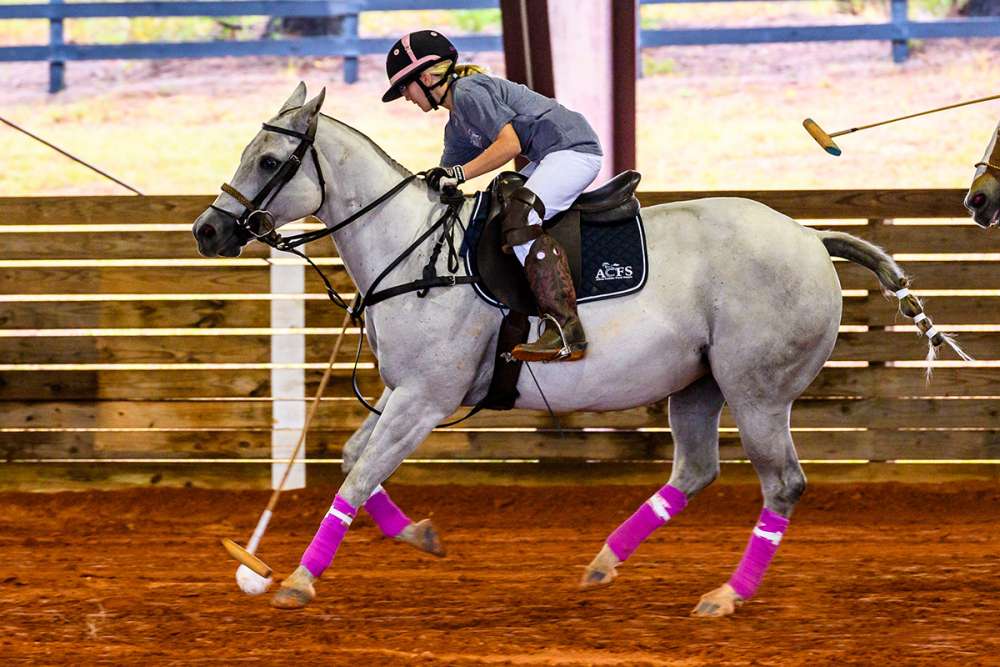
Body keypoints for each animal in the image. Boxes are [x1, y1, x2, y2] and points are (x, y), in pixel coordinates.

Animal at [191, 86, 964, 620]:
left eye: (269, 159)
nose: (207, 231)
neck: (412, 251)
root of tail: (810, 237)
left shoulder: (427, 397)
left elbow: (354, 480)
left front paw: (293, 578)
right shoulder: (402, 390)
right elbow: (357, 460)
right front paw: (420, 535)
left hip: (759, 391)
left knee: (782, 485)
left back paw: (725, 595)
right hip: (700, 385)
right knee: (694, 472)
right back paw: (602, 563)